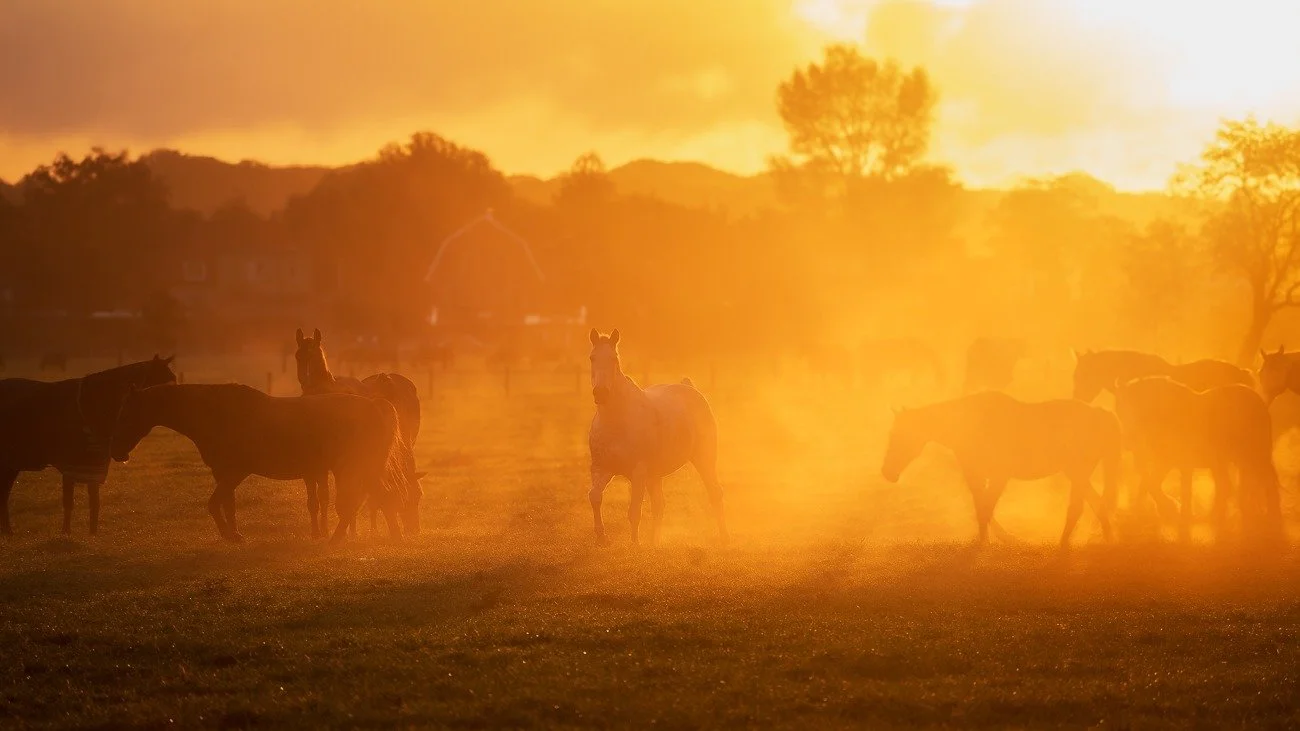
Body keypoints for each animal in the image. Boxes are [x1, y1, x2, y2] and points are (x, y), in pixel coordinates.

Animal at [0, 356, 176, 535]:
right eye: (158, 383)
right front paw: (66, 533)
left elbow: (94, 501)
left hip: (11, 465)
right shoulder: (71, 464)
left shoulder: (95, 465)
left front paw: (93, 534)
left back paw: (8, 533)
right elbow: (69, 501)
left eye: (173, 380)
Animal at [109, 383, 419, 544]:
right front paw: (234, 533)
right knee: (377, 498)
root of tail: (375, 405)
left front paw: (229, 535)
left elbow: (213, 504)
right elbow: (227, 505)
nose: (117, 452)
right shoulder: (223, 473)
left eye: (126, 414)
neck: (216, 412)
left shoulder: (236, 471)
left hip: (354, 467)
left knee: (370, 499)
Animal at [587, 329, 727, 546]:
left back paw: (724, 538)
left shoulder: (638, 473)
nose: (601, 393)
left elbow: (634, 512)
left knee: (715, 493)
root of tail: (690, 388)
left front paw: (635, 545)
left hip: (704, 460)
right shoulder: (602, 469)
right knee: (659, 505)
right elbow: (594, 497)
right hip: (655, 476)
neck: (617, 420)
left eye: (614, 359)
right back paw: (655, 543)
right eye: (592, 358)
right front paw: (602, 537)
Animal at [880, 390, 1120, 548]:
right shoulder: (977, 476)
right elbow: (982, 508)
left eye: (899, 435)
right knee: (1095, 504)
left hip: (1077, 472)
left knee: (1078, 507)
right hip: (1076, 473)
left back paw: (1064, 545)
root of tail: (1102, 414)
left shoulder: (997, 476)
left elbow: (986, 508)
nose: (887, 472)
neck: (969, 425)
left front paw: (988, 543)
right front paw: (992, 539)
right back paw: (1105, 541)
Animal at [1112, 376, 1282, 541]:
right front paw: (1173, 511)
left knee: (1266, 481)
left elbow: (1167, 486)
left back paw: (1271, 517)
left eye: (1135, 408)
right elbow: (1153, 484)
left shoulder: (1175, 462)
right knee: (1230, 485)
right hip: (1230, 461)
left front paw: (1174, 511)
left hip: (1255, 455)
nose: (1128, 443)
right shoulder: (1170, 462)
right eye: (1119, 412)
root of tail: (1260, 402)